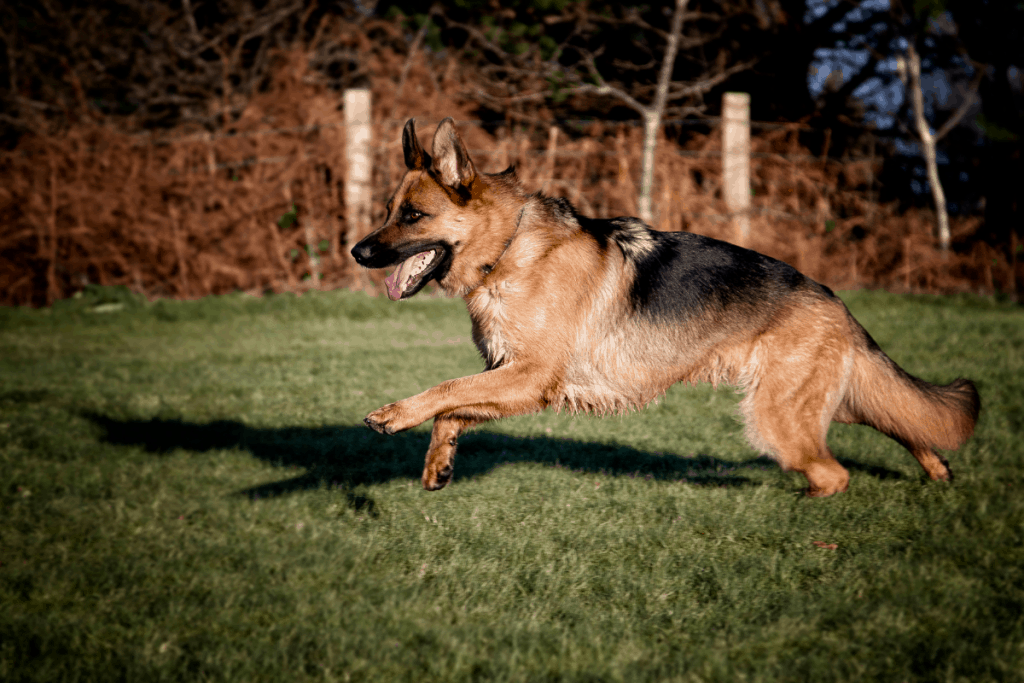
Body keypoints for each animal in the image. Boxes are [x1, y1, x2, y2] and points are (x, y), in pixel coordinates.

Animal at [354, 118, 983, 497]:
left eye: (412, 216)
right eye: (388, 212)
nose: (357, 252)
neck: (510, 248)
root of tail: (833, 301)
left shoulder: (529, 376)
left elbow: (444, 390)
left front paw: (394, 414)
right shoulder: (513, 379)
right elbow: (453, 409)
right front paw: (438, 464)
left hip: (778, 420)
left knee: (836, 472)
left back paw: (805, 504)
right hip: (839, 401)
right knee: (907, 421)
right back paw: (937, 470)